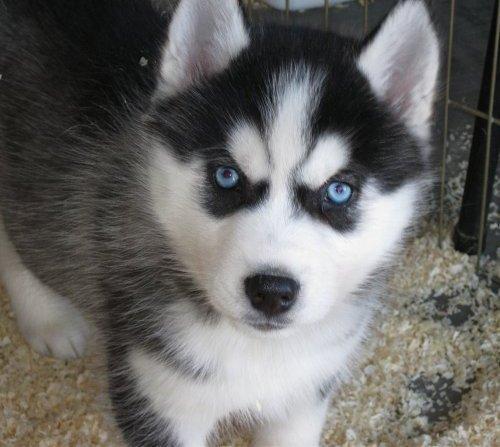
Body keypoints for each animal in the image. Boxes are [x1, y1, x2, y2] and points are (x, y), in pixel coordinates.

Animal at [0, 0, 438, 446]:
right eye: (227, 176)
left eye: (338, 191)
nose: (271, 291)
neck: (257, 349)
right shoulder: (157, 397)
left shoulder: (306, 394)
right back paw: (47, 319)